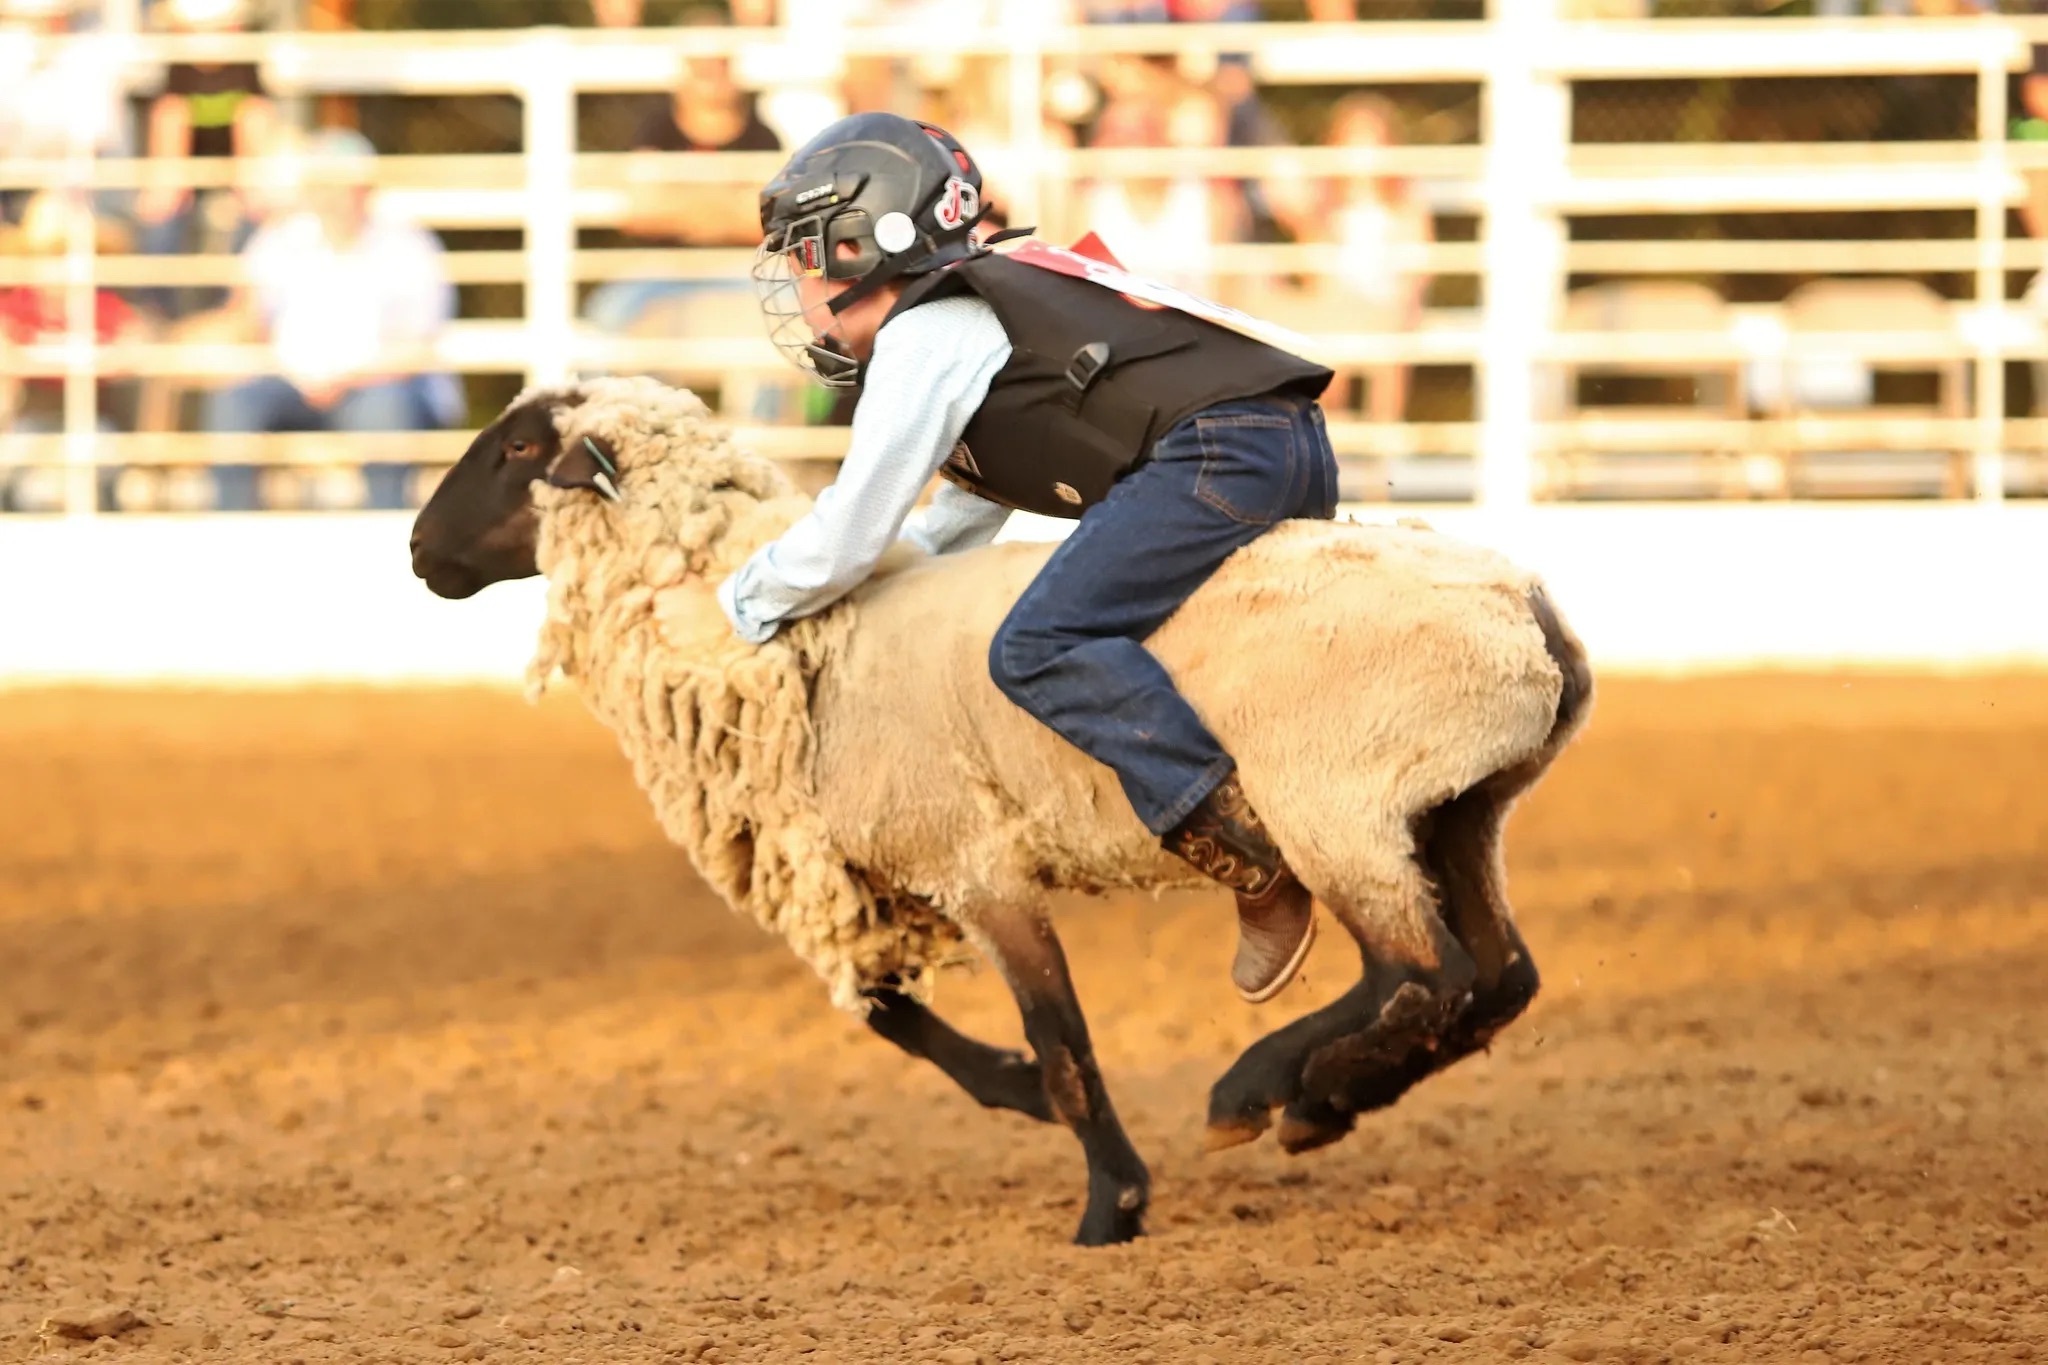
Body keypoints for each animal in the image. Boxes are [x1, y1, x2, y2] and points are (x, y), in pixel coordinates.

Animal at [411, 376, 1597, 1252]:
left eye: (517, 449)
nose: (419, 551)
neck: (809, 646)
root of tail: (1529, 609)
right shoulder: (876, 874)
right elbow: (894, 1017)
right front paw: (1023, 1097)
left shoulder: (972, 862)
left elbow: (1061, 1040)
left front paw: (1110, 1204)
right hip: (1453, 813)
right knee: (1494, 980)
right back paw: (1321, 1099)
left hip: (1332, 802)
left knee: (1420, 972)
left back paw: (1267, 1088)